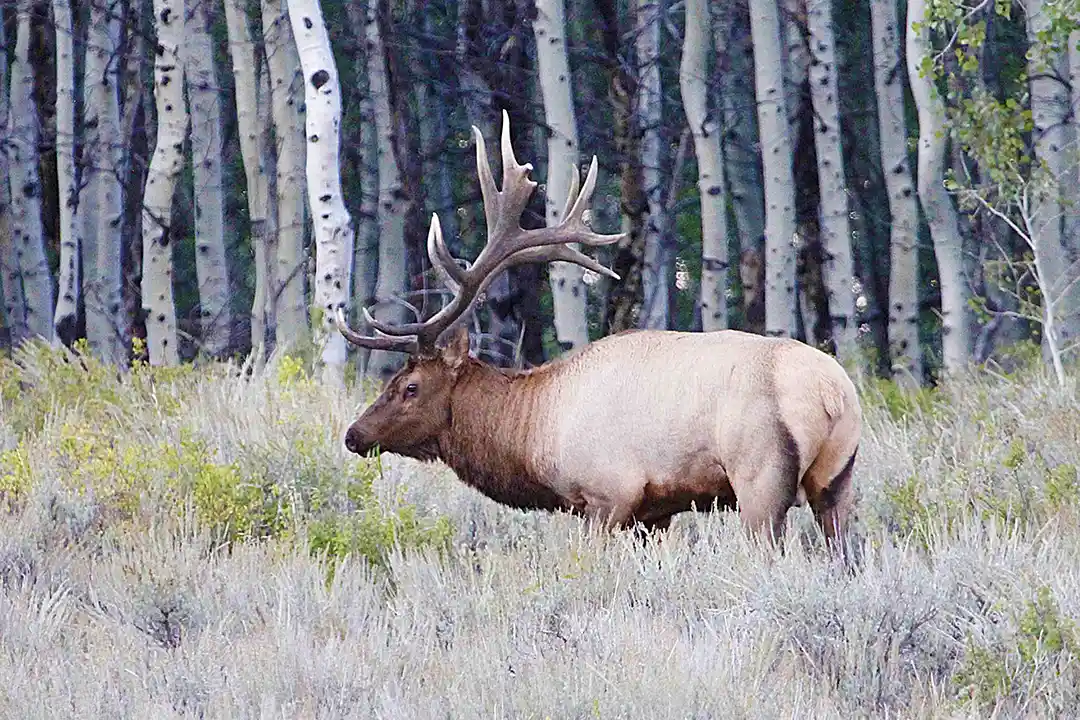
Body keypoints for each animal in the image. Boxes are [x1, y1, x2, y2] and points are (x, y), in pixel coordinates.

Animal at [335, 111, 862, 549]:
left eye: (409, 386)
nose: (354, 435)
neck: (534, 435)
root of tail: (833, 394)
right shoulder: (655, 512)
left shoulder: (607, 494)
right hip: (838, 481)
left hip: (759, 475)